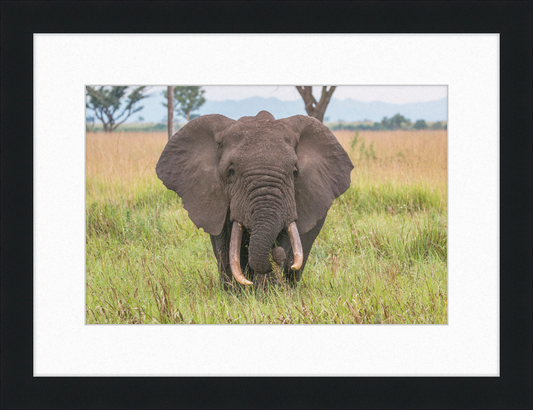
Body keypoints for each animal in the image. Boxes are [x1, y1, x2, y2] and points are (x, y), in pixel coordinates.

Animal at [155, 110, 354, 286]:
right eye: (231, 171)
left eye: (294, 172)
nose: (276, 254)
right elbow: (225, 246)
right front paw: (235, 294)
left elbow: (285, 237)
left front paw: (266, 294)